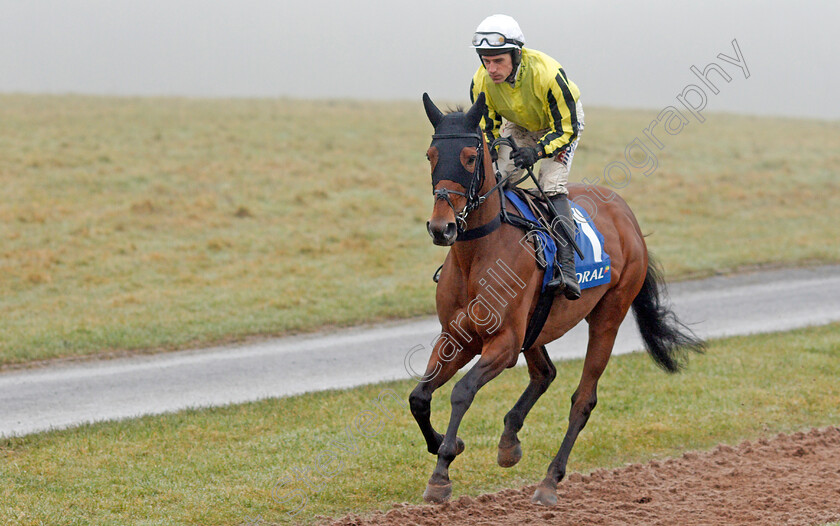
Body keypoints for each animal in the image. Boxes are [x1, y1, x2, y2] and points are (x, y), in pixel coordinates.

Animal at [410, 93, 704, 510]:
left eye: (468, 156)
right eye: (431, 155)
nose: (442, 228)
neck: (478, 253)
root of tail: (627, 215)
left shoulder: (503, 344)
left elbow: (462, 391)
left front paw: (442, 470)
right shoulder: (456, 336)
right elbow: (419, 396)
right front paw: (446, 446)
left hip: (608, 317)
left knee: (583, 400)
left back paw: (550, 480)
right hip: (536, 326)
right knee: (544, 373)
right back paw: (509, 442)